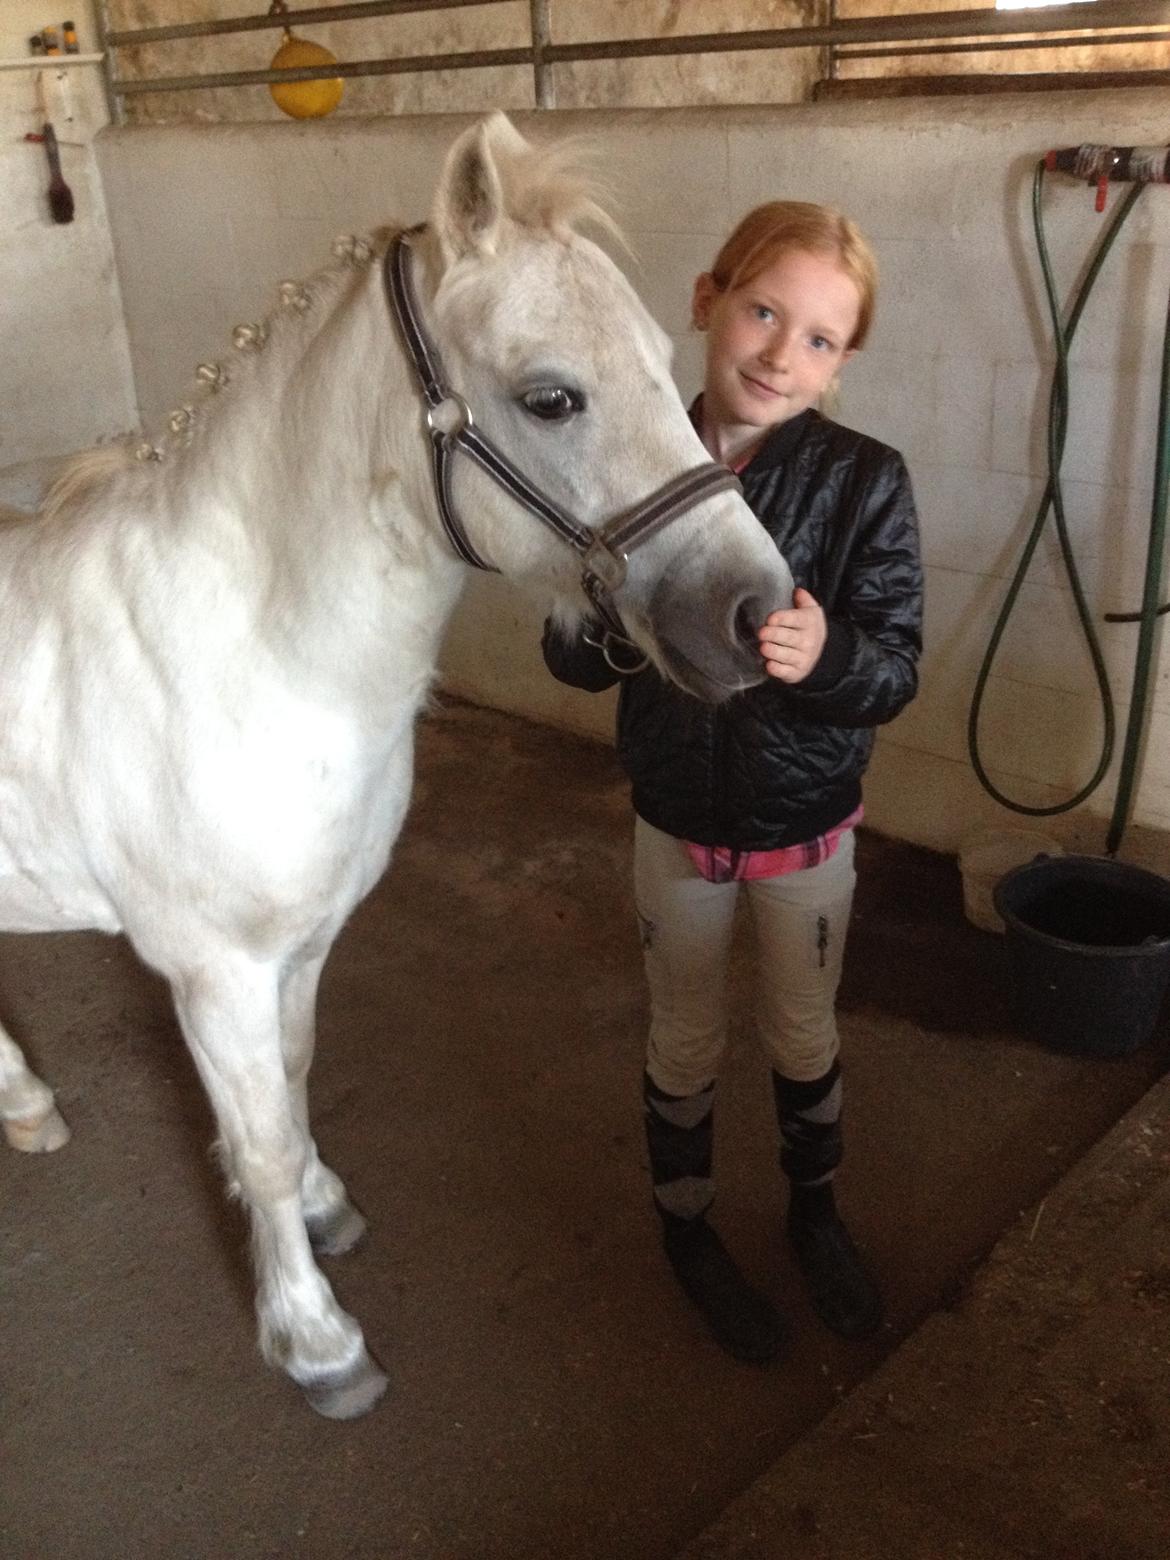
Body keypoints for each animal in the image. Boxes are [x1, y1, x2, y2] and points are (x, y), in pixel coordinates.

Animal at [0, 112, 793, 1418]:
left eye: (660, 356)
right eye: (551, 397)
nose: (759, 613)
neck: (251, 657)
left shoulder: (305, 945)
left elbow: (292, 1082)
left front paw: (322, 1208)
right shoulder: (216, 972)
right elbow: (262, 1137)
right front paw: (315, 1338)